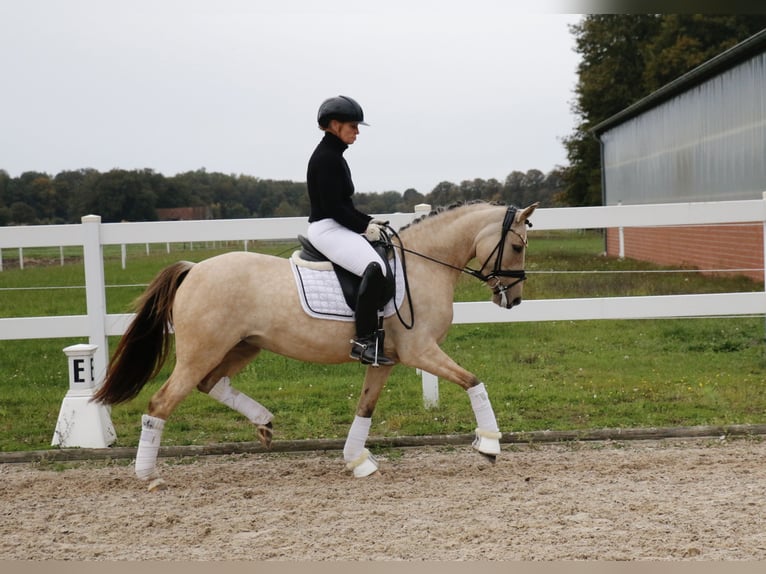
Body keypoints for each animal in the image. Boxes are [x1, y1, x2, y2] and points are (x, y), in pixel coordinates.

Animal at [94, 202, 540, 490]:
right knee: (161, 403)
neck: (422, 264)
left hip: (241, 347)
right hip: (202, 352)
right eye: (518, 246)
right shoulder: (420, 351)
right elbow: (473, 381)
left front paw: (357, 461)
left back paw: (263, 421)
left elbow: (365, 408)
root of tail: (194, 269)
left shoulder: (384, 360)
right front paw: (489, 443)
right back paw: (149, 476)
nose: (514, 300)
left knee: (210, 384)